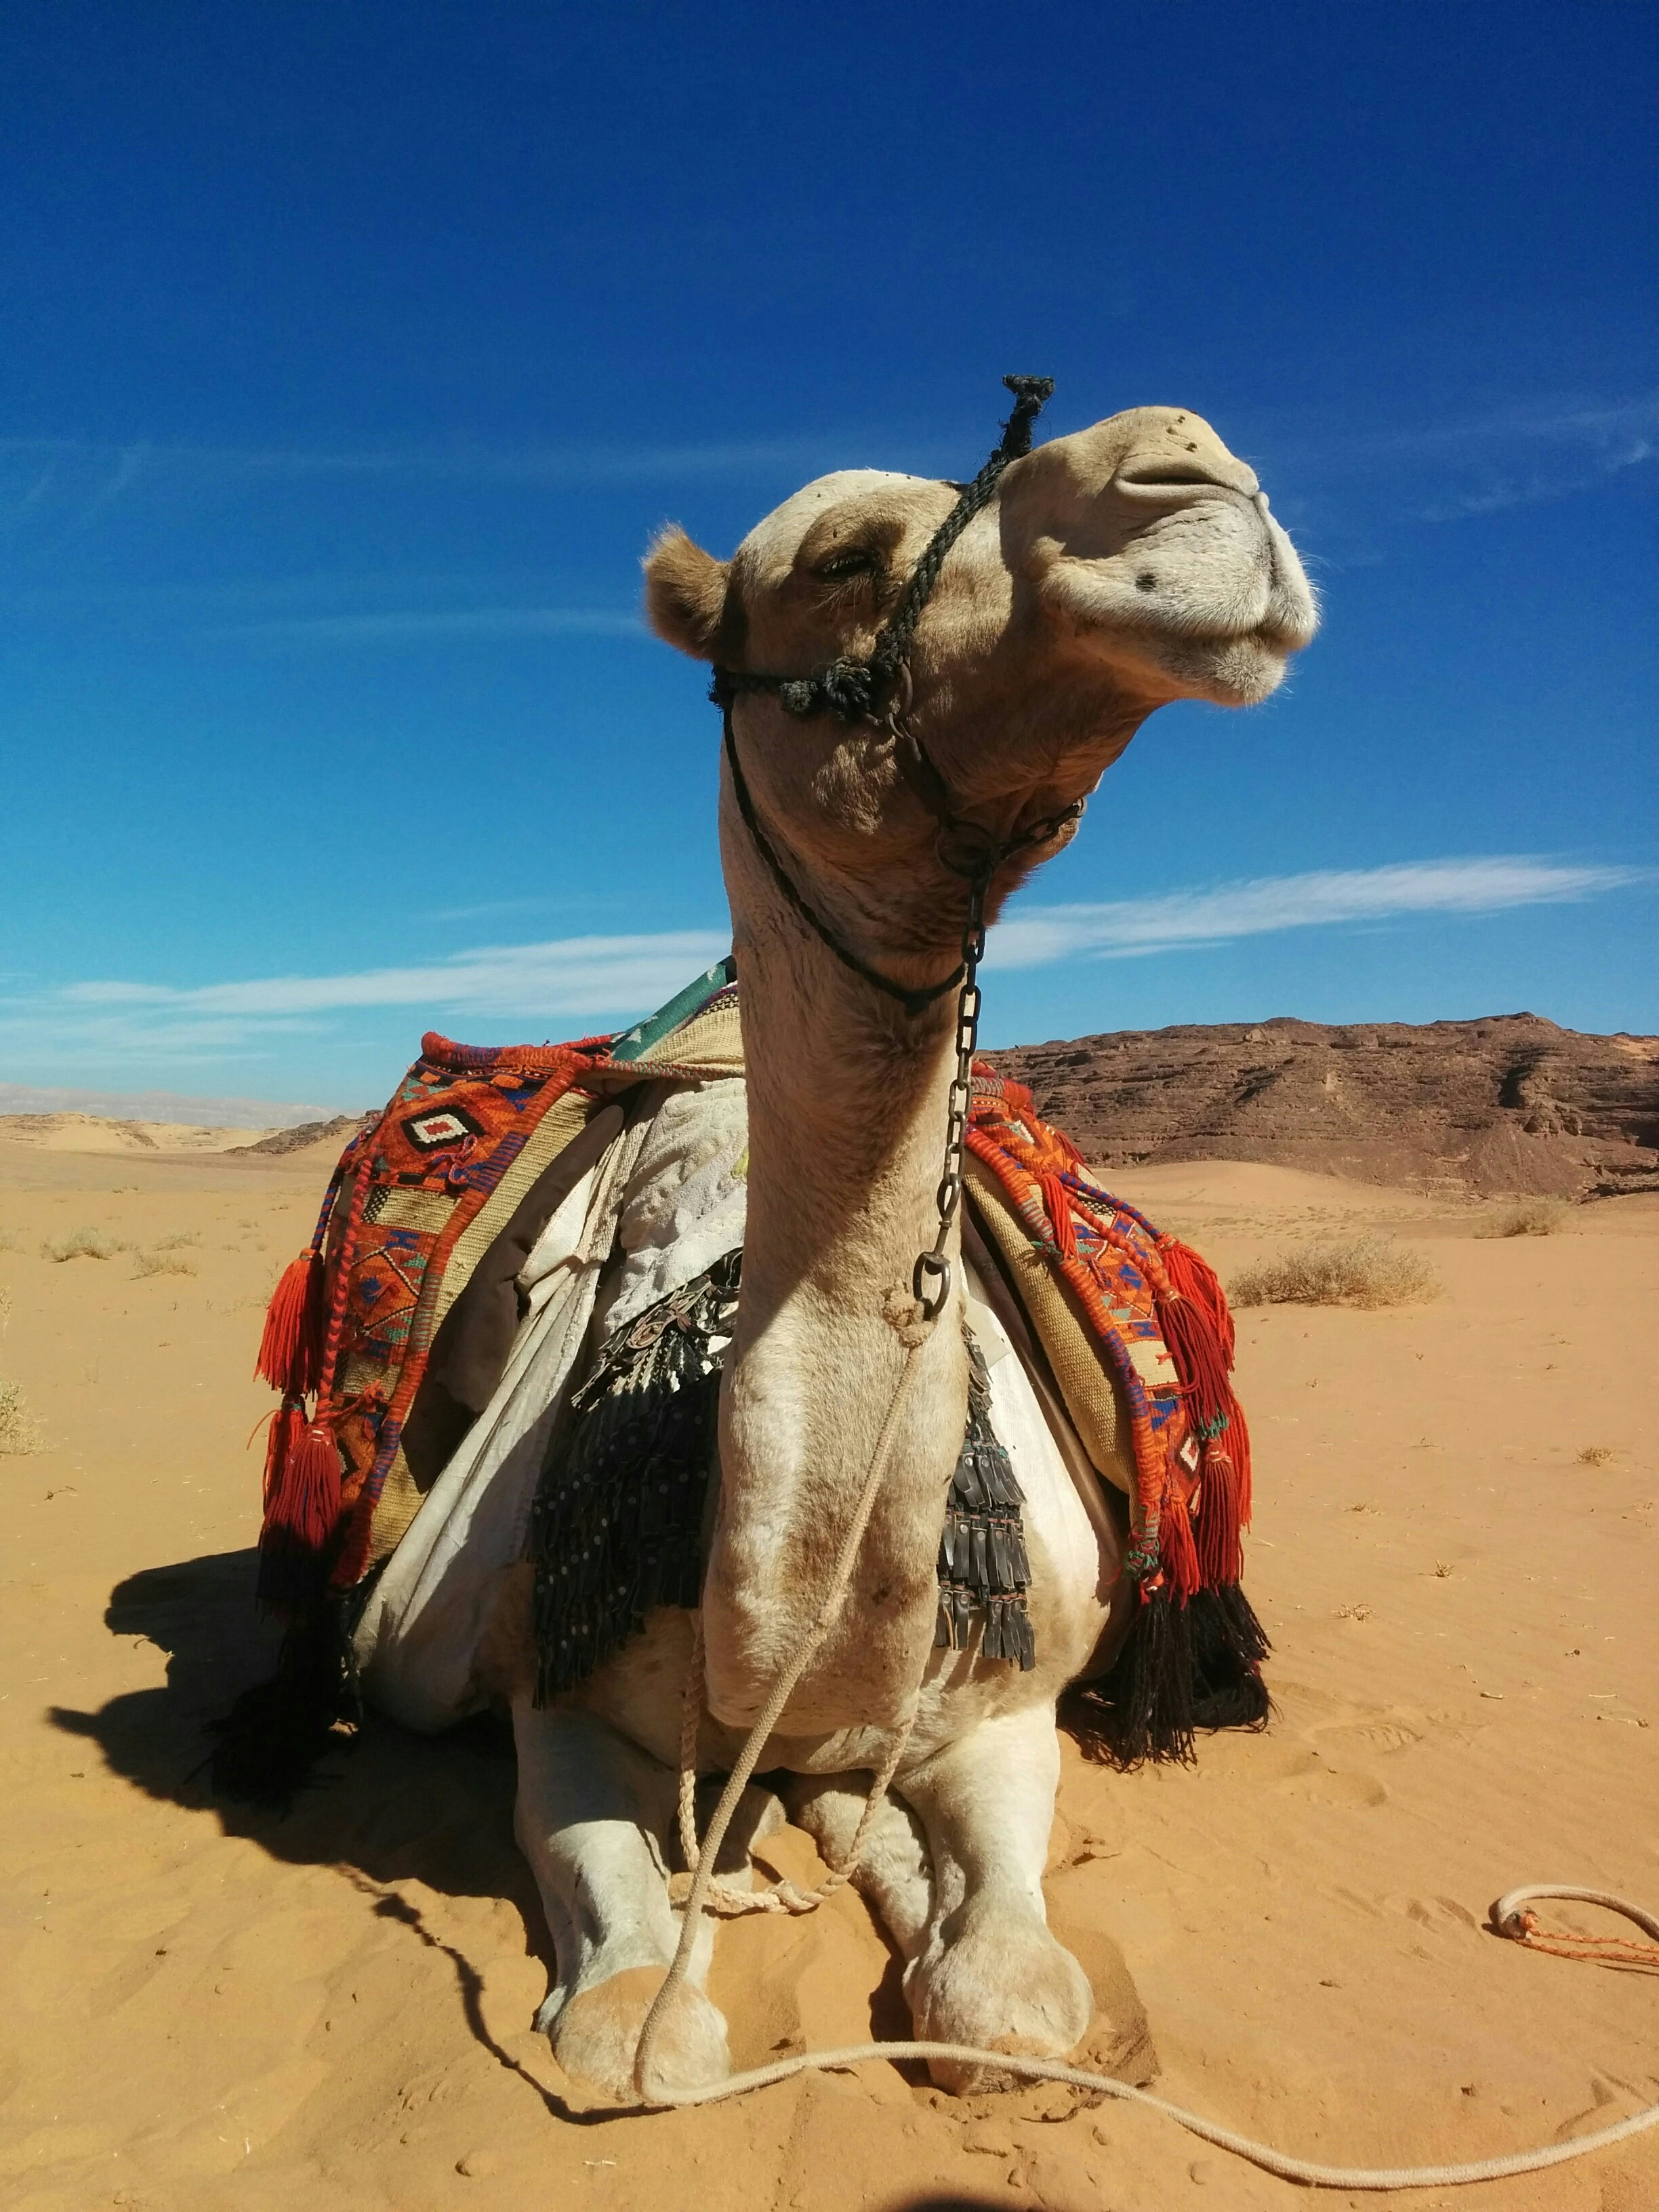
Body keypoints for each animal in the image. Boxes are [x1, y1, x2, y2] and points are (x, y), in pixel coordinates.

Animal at [351, 393, 1317, 2103]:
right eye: (845, 557)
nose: (1193, 468)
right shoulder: (538, 1692)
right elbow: (631, 2026)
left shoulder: (1005, 1707)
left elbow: (1013, 2003)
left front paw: (909, 1892)